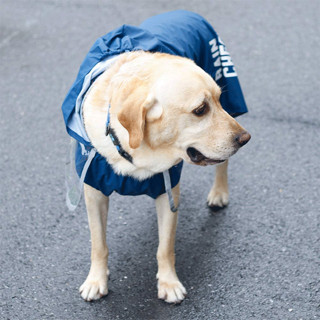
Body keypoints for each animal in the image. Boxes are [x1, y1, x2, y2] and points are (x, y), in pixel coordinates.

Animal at [62, 11, 250, 304]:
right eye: (200, 109)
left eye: (217, 100)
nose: (245, 138)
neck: (136, 152)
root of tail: (186, 12)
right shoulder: (94, 191)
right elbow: (99, 244)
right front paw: (96, 280)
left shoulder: (168, 189)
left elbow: (165, 247)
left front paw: (168, 283)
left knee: (223, 164)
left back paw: (219, 193)